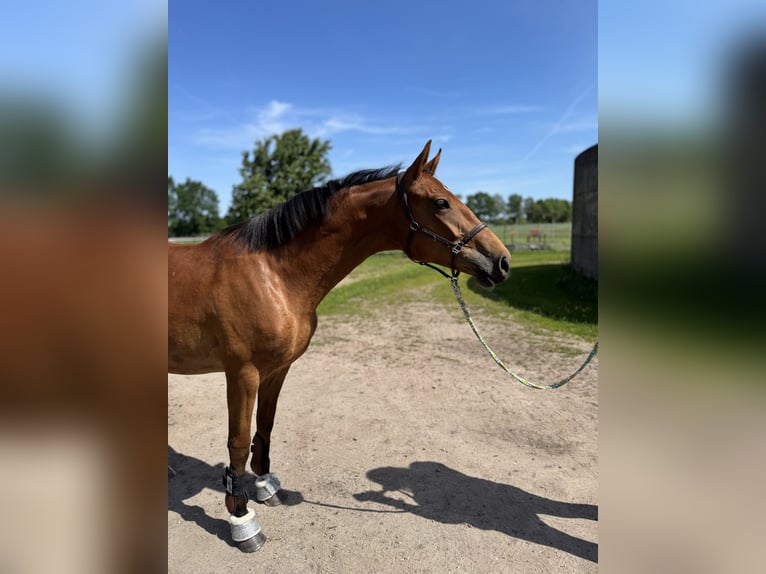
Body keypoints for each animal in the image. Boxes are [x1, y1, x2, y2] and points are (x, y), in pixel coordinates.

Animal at [168, 141, 511, 551]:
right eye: (441, 202)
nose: (502, 261)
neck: (273, 275)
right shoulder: (242, 374)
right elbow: (237, 442)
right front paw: (242, 519)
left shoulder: (276, 370)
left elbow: (265, 426)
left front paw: (266, 487)